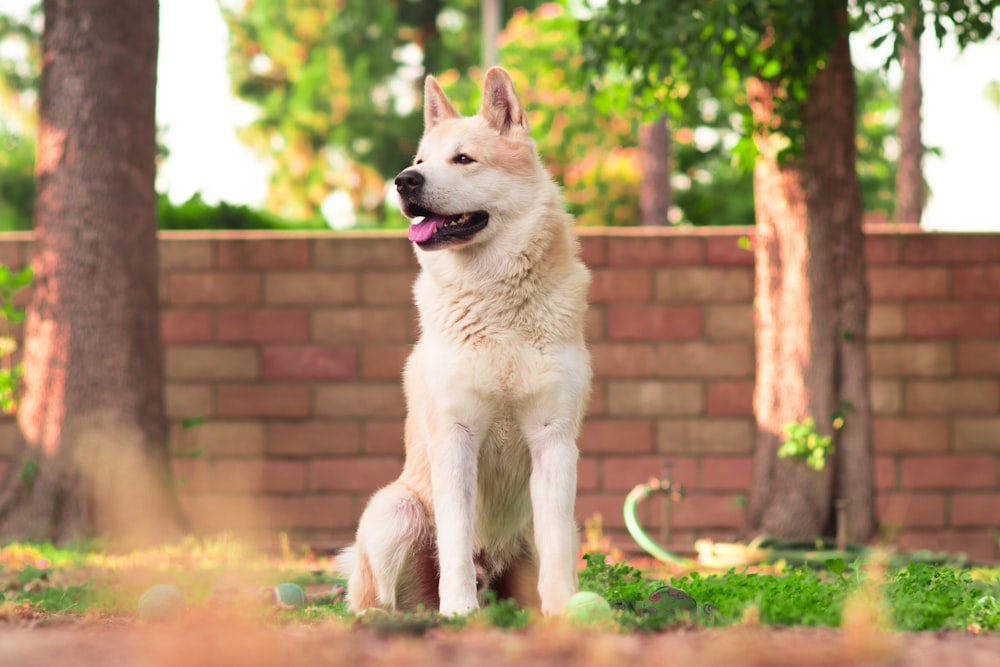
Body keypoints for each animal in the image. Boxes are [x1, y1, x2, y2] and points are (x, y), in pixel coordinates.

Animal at [342, 66, 592, 616]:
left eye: (463, 159)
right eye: (419, 162)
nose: (403, 181)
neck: (497, 305)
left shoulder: (553, 441)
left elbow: (557, 554)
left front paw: (566, 612)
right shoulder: (455, 438)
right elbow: (454, 540)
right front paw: (458, 611)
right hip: (395, 511)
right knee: (383, 598)